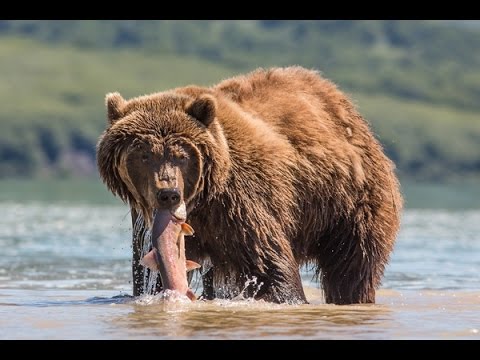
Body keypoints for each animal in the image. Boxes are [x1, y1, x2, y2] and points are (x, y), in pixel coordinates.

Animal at [95, 67, 404, 304]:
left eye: (181, 155)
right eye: (144, 154)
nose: (168, 194)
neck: (202, 201)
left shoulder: (242, 205)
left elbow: (270, 266)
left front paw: (289, 297)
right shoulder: (147, 224)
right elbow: (149, 273)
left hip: (349, 203)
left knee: (352, 268)